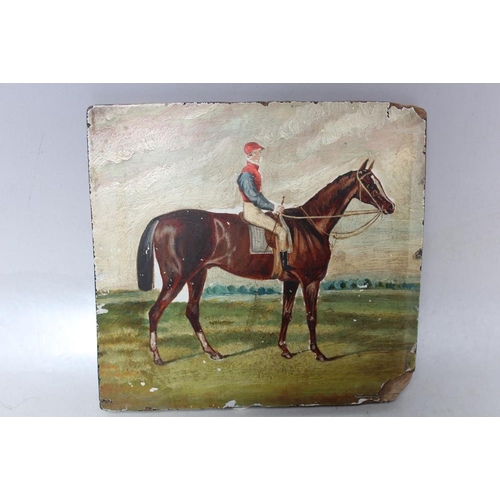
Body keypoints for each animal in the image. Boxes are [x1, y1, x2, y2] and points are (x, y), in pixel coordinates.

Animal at [137, 159, 395, 365]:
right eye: (371, 184)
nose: (390, 206)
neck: (310, 224)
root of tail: (162, 219)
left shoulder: (291, 281)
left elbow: (286, 314)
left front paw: (284, 349)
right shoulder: (310, 281)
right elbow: (311, 316)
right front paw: (317, 352)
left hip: (197, 275)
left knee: (192, 311)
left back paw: (212, 351)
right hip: (176, 278)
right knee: (155, 312)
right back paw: (158, 356)